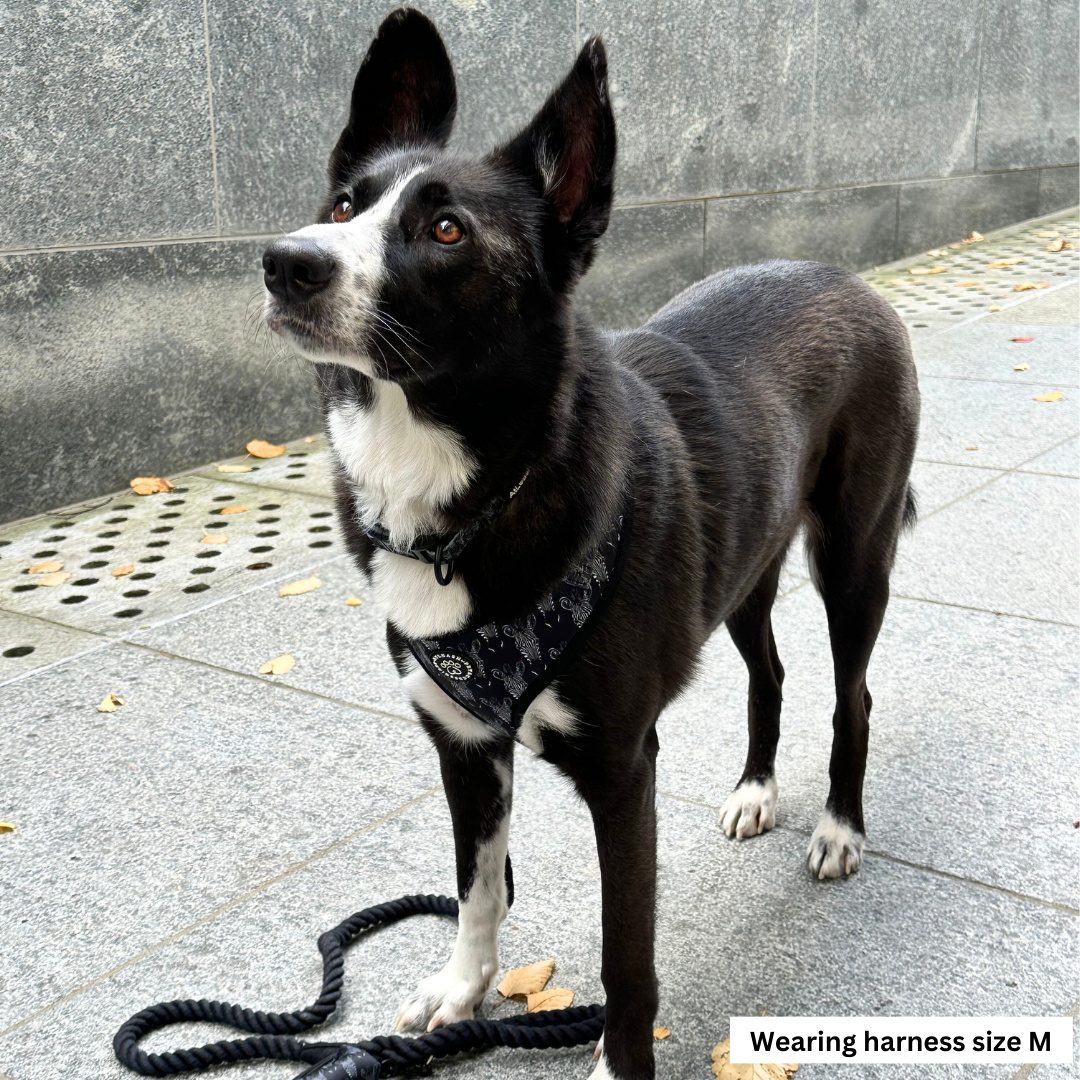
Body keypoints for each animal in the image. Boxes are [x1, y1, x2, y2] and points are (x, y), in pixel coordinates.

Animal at [261, 10, 920, 1080]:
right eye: (345, 202)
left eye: (445, 228)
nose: (286, 261)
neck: (478, 496)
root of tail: (844, 277)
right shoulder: (463, 745)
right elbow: (479, 886)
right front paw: (462, 992)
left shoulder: (621, 771)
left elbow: (626, 957)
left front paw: (619, 1057)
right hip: (742, 573)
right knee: (771, 672)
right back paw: (754, 790)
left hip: (854, 559)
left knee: (851, 693)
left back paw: (836, 828)